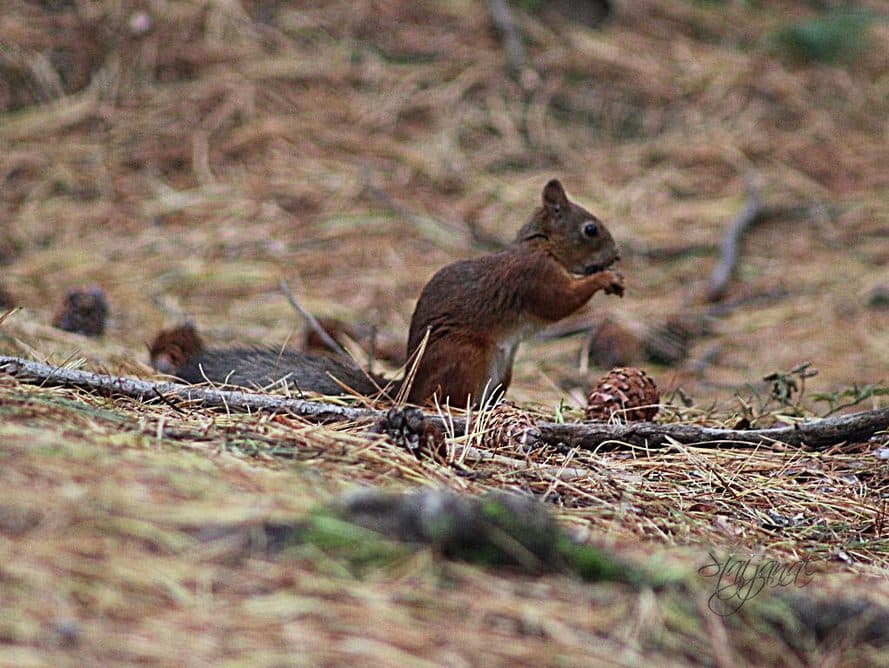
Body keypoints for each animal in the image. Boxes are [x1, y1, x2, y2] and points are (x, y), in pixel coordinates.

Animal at [149, 179, 620, 408]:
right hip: (467, 356)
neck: (540, 244)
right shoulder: (532, 277)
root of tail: (404, 388)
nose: (617, 255)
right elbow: (559, 302)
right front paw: (604, 281)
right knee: (445, 399)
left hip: (504, 370)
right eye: (590, 229)